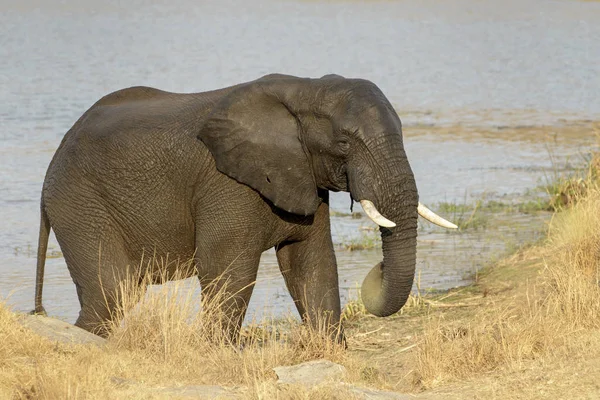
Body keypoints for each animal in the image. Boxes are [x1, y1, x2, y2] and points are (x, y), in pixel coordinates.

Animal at [31, 72, 454, 340]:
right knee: (112, 292)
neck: (305, 91)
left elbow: (312, 264)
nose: (376, 268)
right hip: (79, 203)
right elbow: (227, 269)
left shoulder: (302, 175)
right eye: (345, 143)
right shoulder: (227, 184)